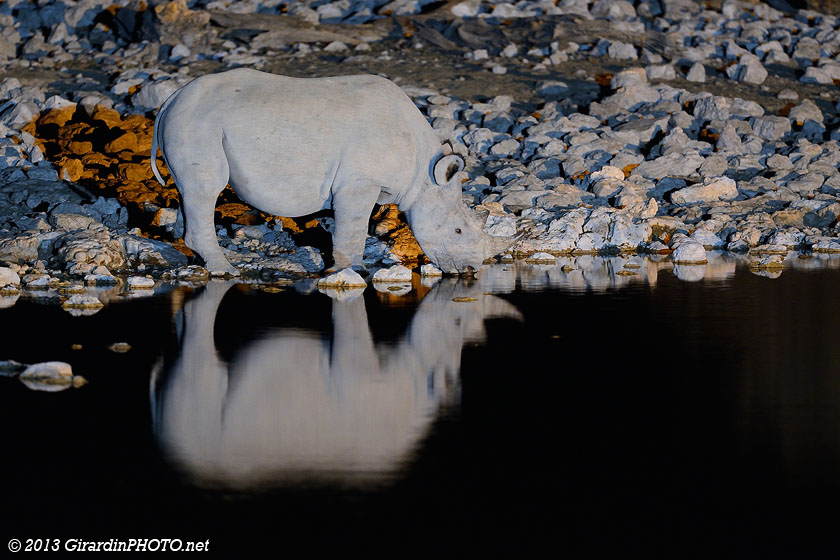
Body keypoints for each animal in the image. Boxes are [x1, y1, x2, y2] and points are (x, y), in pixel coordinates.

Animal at [151, 68, 517, 276]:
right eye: (457, 231)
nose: (469, 270)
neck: (423, 174)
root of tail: (171, 99)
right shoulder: (359, 182)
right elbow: (352, 229)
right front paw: (352, 270)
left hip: (193, 121)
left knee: (189, 193)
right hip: (198, 123)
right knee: (206, 189)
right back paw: (226, 271)